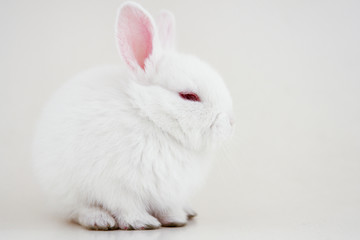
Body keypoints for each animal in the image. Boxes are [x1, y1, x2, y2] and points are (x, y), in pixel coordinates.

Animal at [33, 1, 233, 231]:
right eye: (189, 96)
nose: (231, 123)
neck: (151, 119)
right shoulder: (115, 185)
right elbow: (127, 206)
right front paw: (143, 222)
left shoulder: (167, 193)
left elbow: (168, 208)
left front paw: (175, 219)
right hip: (66, 191)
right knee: (78, 210)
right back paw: (99, 220)